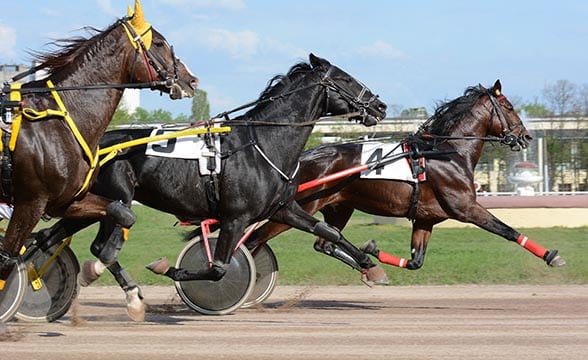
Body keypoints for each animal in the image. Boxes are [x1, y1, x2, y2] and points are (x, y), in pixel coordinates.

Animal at [0, 0, 198, 320]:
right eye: (159, 43)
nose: (190, 79)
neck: (59, 120)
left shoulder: (65, 200)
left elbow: (123, 213)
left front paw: (106, 271)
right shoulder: (31, 201)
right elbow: (7, 258)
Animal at [35, 52, 386, 318]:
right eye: (345, 79)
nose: (380, 106)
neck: (262, 143)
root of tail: (93, 145)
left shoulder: (283, 209)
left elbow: (329, 232)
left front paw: (371, 266)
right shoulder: (235, 217)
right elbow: (218, 268)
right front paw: (169, 270)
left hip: (89, 205)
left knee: (50, 237)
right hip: (117, 198)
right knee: (98, 247)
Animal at [247, 80, 564, 278]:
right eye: (509, 107)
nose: (526, 136)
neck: (446, 151)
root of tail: (300, 159)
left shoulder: (425, 219)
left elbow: (415, 262)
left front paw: (372, 250)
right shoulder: (465, 208)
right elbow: (507, 230)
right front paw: (551, 256)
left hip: (339, 207)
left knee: (323, 242)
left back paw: (368, 268)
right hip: (295, 209)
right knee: (254, 241)